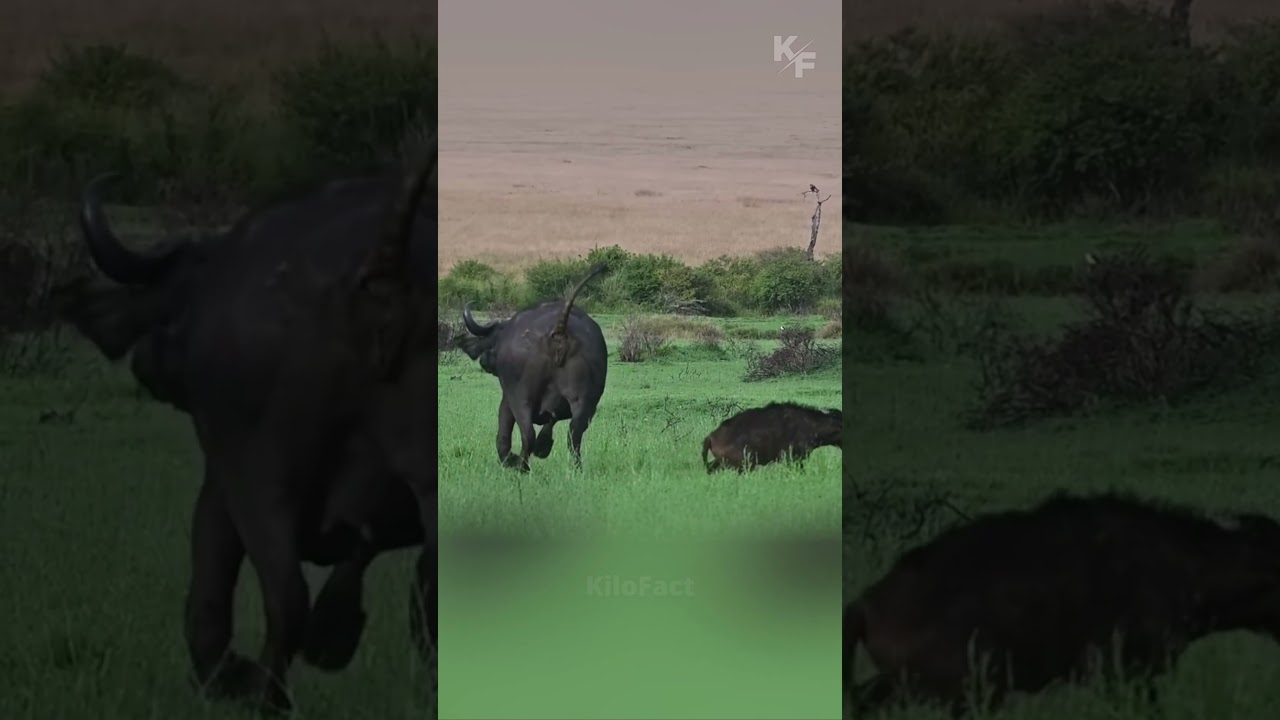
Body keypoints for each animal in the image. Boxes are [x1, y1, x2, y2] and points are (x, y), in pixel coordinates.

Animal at [54, 140, 440, 713]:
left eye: (174, 305)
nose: (150, 363)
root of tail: (380, 282)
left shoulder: (217, 486)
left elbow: (208, 606)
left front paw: (228, 676)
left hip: (255, 478)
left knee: (284, 600)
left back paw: (259, 691)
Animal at [456, 264, 609, 472]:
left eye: (492, 342)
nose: (484, 362)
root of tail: (559, 332)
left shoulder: (507, 398)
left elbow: (504, 433)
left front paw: (509, 459)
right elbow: (552, 420)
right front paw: (544, 446)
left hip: (520, 398)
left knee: (528, 434)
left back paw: (520, 465)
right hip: (585, 400)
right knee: (574, 433)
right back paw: (574, 467)